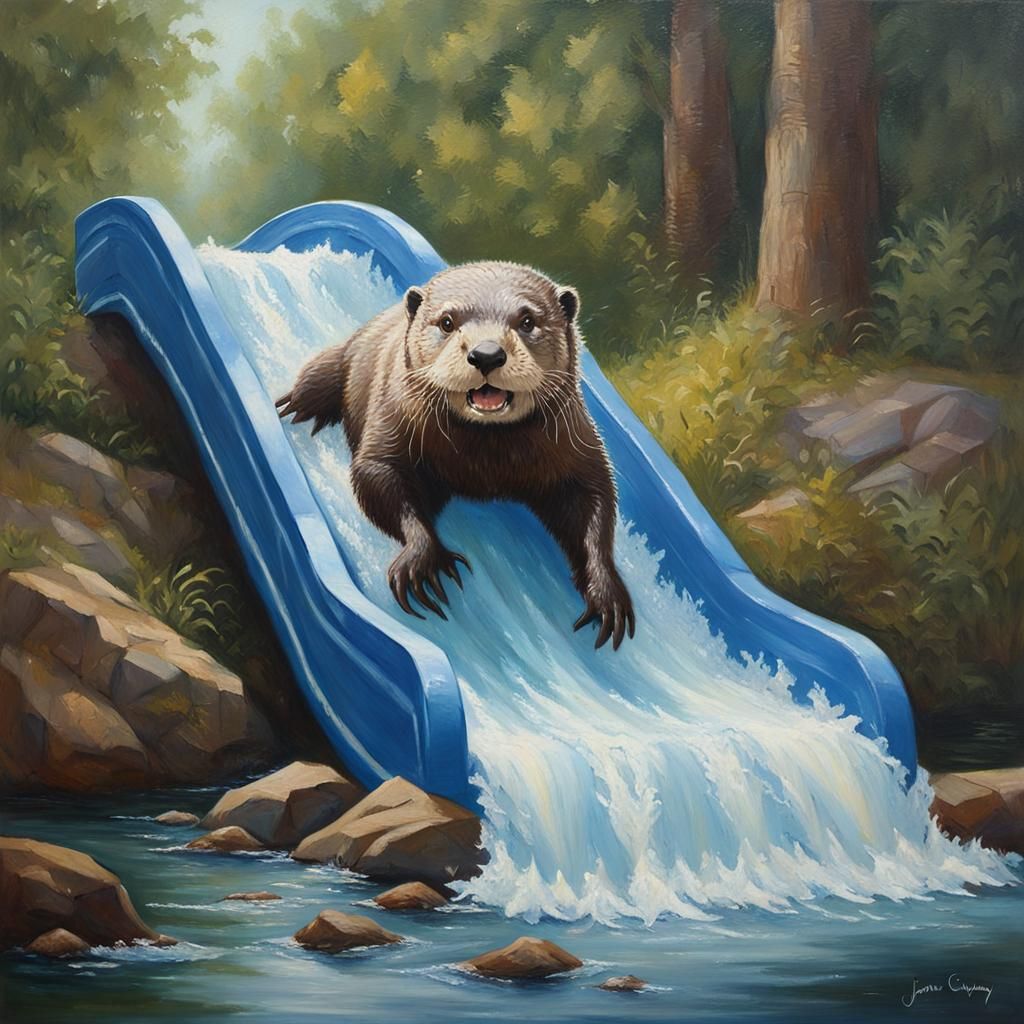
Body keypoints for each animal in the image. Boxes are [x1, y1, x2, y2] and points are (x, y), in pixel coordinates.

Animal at [276, 261, 635, 650]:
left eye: (527, 321)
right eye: (447, 321)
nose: (487, 353)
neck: (484, 462)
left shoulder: (574, 445)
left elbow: (595, 501)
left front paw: (606, 589)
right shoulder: (391, 427)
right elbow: (376, 475)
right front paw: (423, 558)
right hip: (345, 357)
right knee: (321, 374)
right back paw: (293, 406)